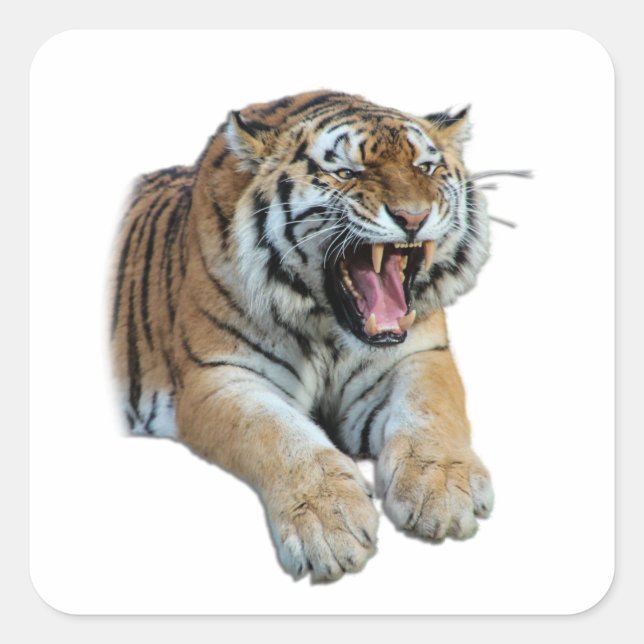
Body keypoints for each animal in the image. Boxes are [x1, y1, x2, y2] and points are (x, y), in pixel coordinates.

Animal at [110, 90, 496, 582]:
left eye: (425, 168)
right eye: (346, 173)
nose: (414, 216)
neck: (329, 328)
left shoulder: (418, 354)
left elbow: (431, 412)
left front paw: (443, 489)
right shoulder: (219, 376)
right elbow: (278, 434)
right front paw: (330, 525)